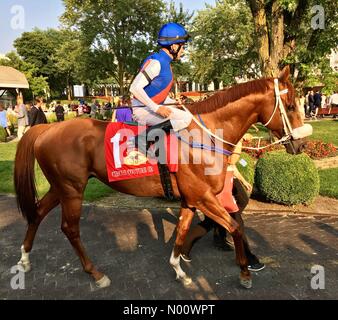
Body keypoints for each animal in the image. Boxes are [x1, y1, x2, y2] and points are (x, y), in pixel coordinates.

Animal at [14, 66, 310, 288]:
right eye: (291, 105)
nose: (301, 144)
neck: (205, 135)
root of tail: (46, 129)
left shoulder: (191, 200)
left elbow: (182, 230)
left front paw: (179, 269)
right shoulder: (204, 197)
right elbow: (235, 227)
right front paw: (245, 273)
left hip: (60, 187)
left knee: (37, 213)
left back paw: (24, 260)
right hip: (72, 189)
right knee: (70, 228)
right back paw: (95, 273)